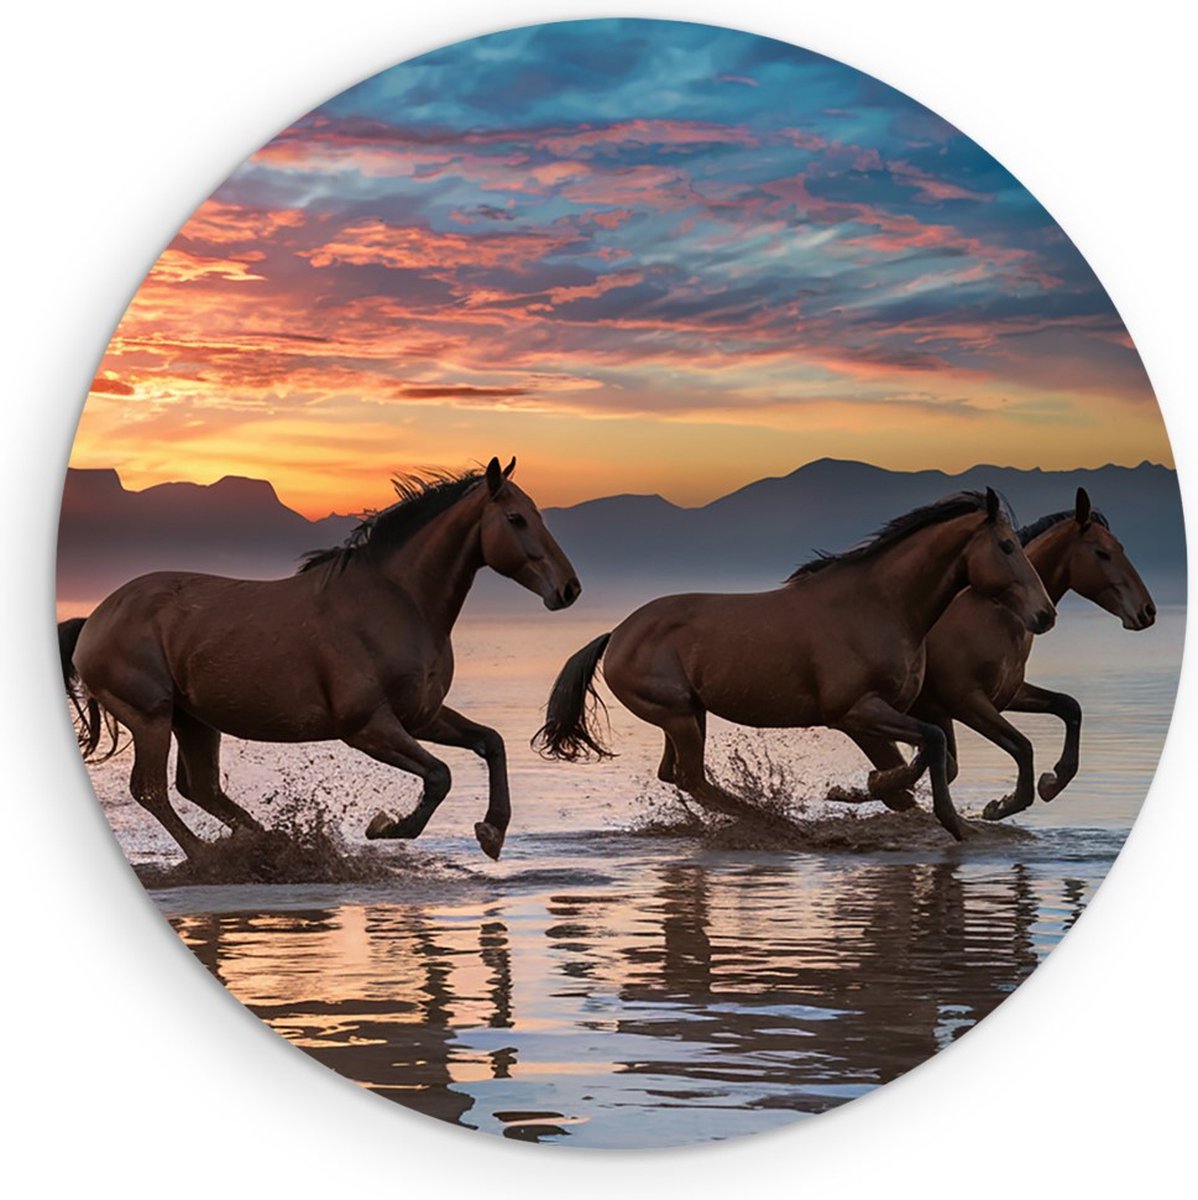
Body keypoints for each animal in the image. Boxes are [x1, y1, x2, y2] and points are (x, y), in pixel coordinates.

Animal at [60, 457, 580, 861]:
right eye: (516, 518)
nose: (569, 589)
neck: (396, 602)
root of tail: (94, 620)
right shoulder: (367, 727)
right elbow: (439, 775)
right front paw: (386, 826)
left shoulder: (420, 716)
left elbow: (491, 742)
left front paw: (492, 831)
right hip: (151, 716)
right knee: (152, 790)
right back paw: (211, 858)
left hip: (194, 721)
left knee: (200, 787)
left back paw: (266, 846)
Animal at [534, 488, 1055, 841]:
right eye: (1007, 546)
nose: (1045, 613)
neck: (879, 606)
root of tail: (617, 635)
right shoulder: (855, 712)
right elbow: (931, 745)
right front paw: (919, 807)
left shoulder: (882, 714)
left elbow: (929, 758)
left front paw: (879, 790)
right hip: (679, 715)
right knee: (692, 779)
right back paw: (779, 826)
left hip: (687, 715)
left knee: (676, 775)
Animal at [869, 488, 1155, 821]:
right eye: (1102, 552)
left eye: (1119, 548)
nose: (1147, 611)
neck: (994, 615)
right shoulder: (967, 702)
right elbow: (1022, 747)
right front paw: (1004, 804)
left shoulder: (1006, 695)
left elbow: (1069, 707)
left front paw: (1053, 780)